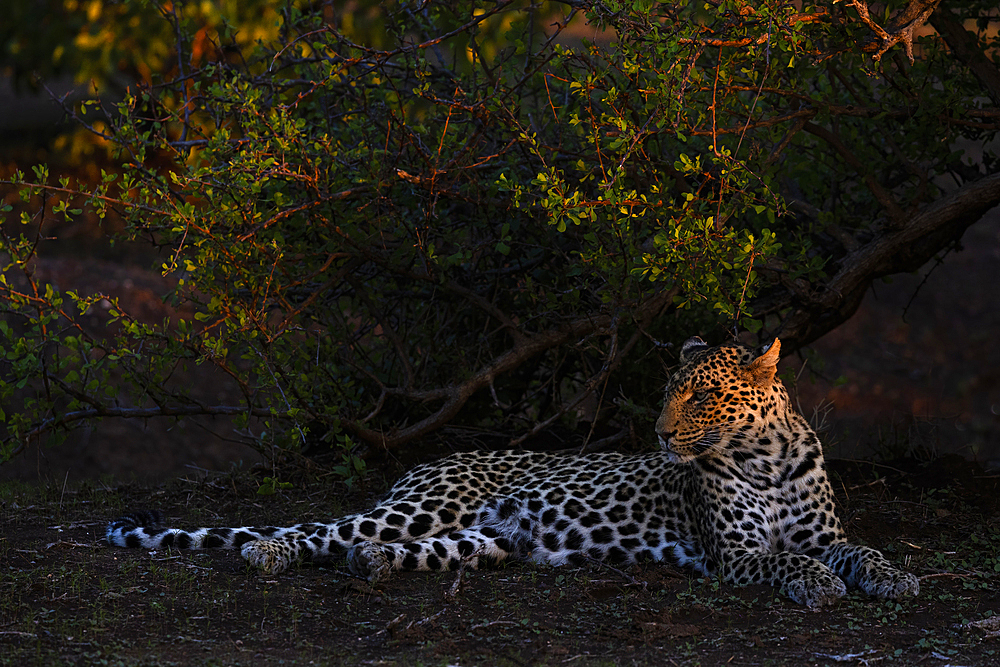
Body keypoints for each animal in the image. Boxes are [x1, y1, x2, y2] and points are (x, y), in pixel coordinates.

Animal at [105, 336, 916, 608]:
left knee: (380, 547)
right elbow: (786, 561)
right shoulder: (737, 555)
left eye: (703, 394)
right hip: (422, 507)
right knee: (317, 530)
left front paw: (896, 578)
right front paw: (819, 586)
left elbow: (859, 549)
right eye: (669, 392)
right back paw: (268, 553)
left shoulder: (826, 532)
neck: (768, 458)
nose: (658, 432)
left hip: (482, 538)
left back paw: (375, 567)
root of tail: (441, 456)